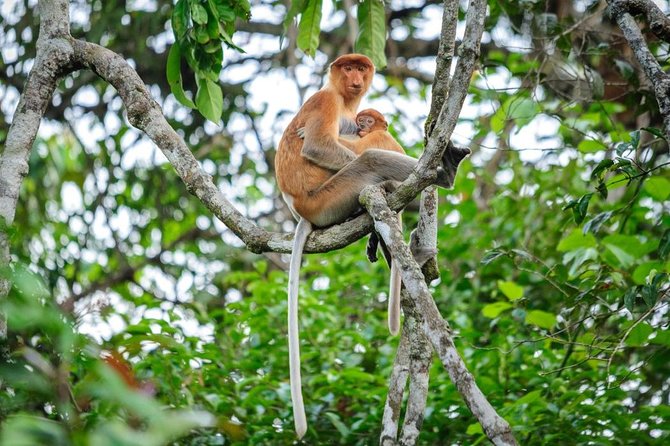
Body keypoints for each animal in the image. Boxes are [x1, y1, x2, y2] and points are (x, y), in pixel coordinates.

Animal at [275, 53, 470, 438]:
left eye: (360, 68)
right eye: (347, 67)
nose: (355, 77)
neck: (342, 99)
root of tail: (301, 210)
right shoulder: (325, 101)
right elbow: (317, 145)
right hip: (329, 196)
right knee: (369, 161)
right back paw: (442, 174)